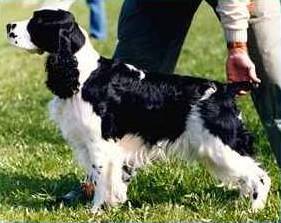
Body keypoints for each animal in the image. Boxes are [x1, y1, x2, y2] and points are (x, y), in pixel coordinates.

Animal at [6, 3, 270, 213]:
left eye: (38, 21)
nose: (8, 25)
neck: (83, 74)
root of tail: (224, 89)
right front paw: (110, 204)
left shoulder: (100, 143)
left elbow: (101, 177)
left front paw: (95, 210)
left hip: (220, 144)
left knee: (260, 177)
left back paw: (254, 210)